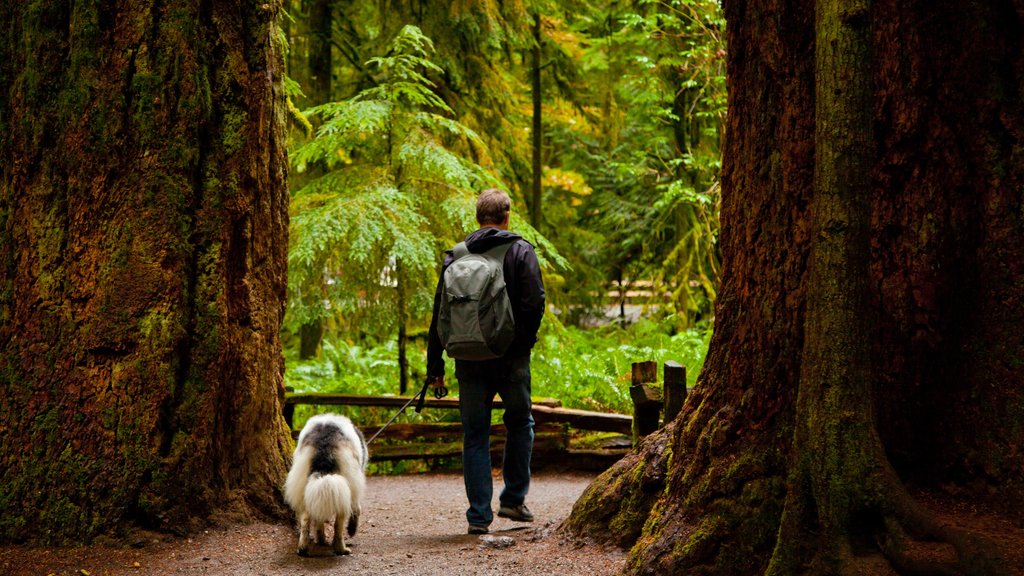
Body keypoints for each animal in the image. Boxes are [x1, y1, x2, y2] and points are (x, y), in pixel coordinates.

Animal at [284, 409, 368, 553]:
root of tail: (324, 443)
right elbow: (357, 509)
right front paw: (351, 530)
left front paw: (320, 538)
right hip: (346, 484)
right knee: (338, 524)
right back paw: (341, 549)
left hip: (304, 482)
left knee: (306, 518)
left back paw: (303, 547)